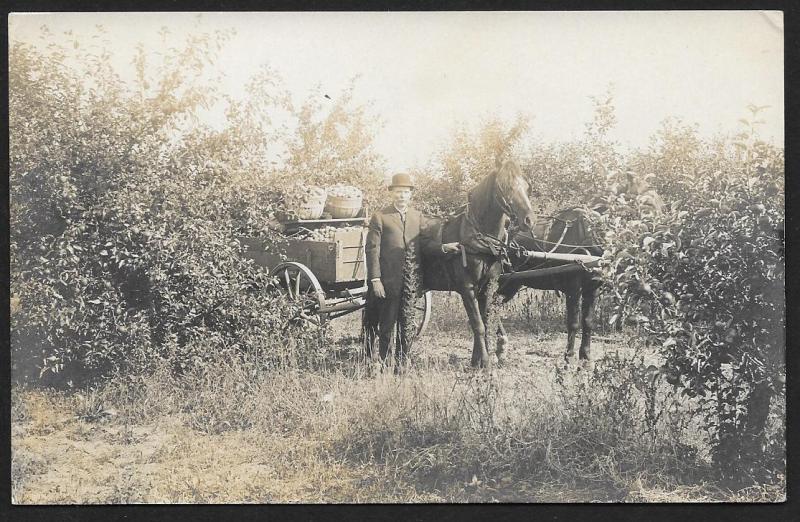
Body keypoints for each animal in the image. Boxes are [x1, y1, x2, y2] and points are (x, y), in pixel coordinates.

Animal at [418, 158, 536, 366]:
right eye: (505, 186)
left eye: (527, 186)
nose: (528, 220)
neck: (481, 239)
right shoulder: (467, 288)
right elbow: (477, 324)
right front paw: (485, 362)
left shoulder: (488, 286)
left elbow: (485, 320)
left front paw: (477, 359)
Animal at [496, 206, 604, 362]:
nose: (597, 276)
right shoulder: (573, 289)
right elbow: (573, 323)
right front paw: (569, 355)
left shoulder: (592, 289)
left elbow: (588, 322)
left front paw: (585, 354)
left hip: (510, 284)